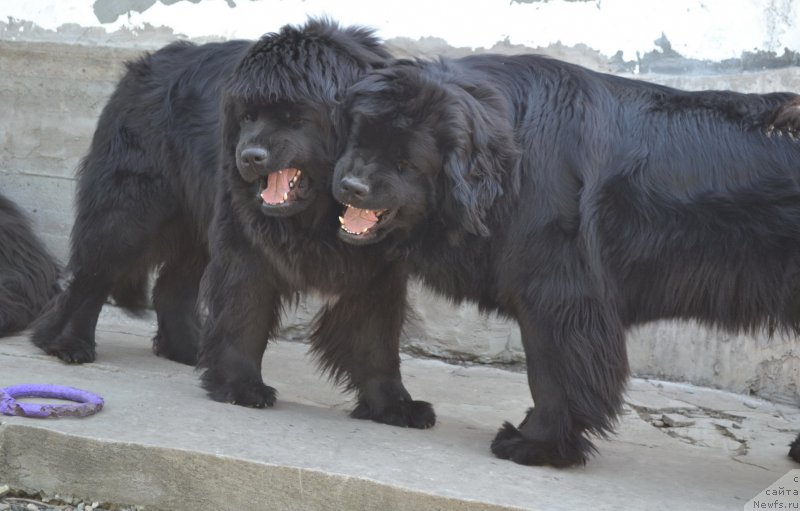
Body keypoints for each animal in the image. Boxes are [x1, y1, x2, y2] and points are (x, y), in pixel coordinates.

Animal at [194, 21, 434, 428]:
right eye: (247, 117)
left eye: (296, 118)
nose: (250, 156)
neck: (319, 216)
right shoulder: (244, 244)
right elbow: (244, 313)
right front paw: (240, 387)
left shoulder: (379, 270)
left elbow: (376, 339)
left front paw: (393, 405)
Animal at [334, 54, 800, 466]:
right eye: (358, 139)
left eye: (406, 161)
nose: (351, 185)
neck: (512, 159)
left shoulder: (559, 293)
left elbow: (553, 375)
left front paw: (535, 444)